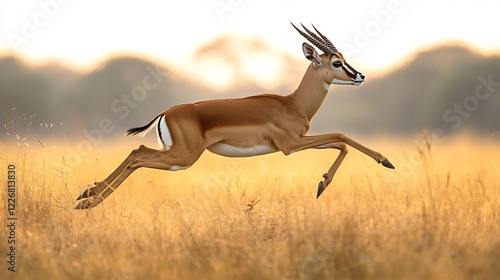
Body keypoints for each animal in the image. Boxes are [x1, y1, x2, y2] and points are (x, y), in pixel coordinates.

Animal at [74, 23, 394, 209]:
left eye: (343, 58)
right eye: (336, 62)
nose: (360, 76)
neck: (293, 104)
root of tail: (165, 112)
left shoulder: (299, 141)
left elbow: (341, 141)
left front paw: (325, 182)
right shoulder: (290, 146)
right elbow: (341, 135)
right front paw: (382, 162)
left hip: (175, 154)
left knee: (135, 150)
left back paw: (85, 195)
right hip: (182, 158)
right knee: (137, 157)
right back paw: (89, 202)